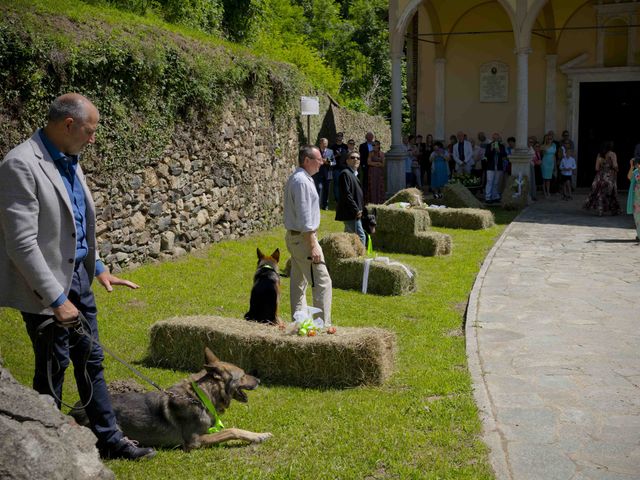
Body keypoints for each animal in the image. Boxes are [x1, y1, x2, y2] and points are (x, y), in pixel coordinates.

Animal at [72, 348, 272, 450]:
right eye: (243, 375)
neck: (200, 397)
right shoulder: (195, 441)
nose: (260, 380)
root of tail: (74, 410)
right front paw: (258, 436)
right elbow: (232, 431)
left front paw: (258, 435)